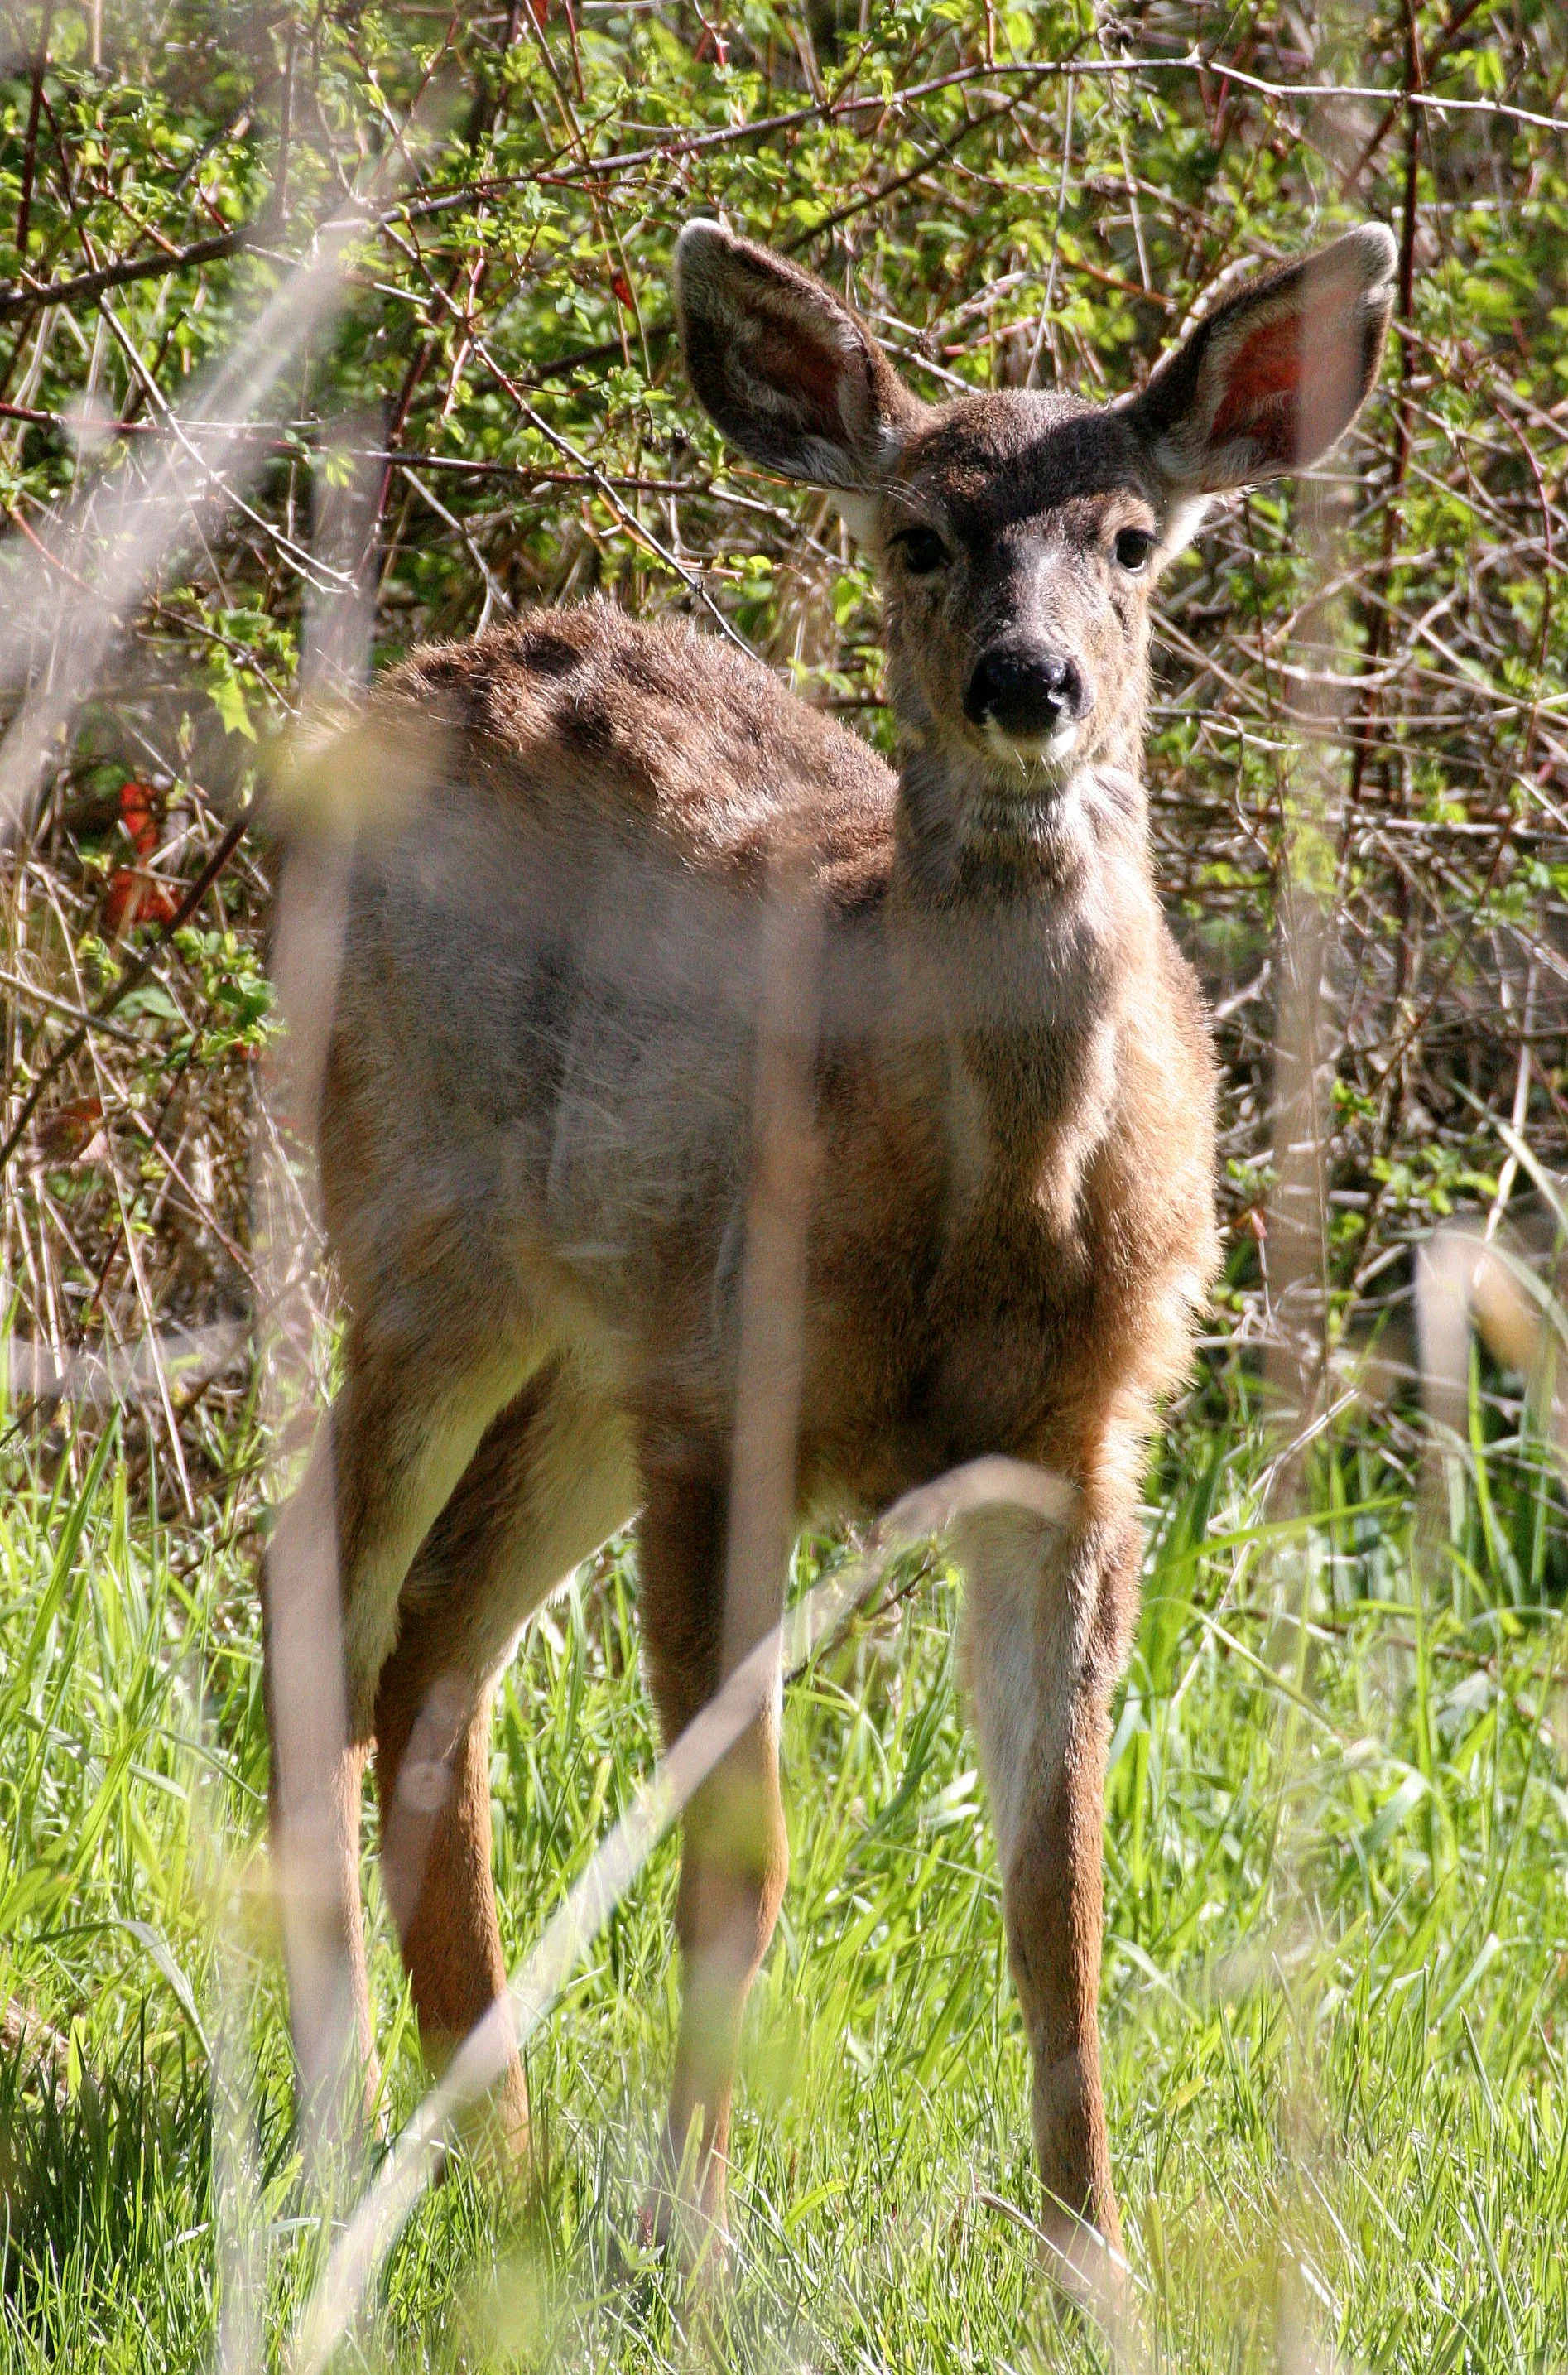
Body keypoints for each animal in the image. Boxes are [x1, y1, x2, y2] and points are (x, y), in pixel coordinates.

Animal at [262, 214, 1396, 2282]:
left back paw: (499, 2155)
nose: (1028, 684)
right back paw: (339, 2134)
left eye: (1132, 538)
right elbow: (740, 1855)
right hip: (421, 1237)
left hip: (599, 1352)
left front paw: (1090, 2259)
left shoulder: (1079, 1456)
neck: (984, 1214)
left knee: (439, 1652)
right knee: (325, 1589)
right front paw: (692, 2243)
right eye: (918, 534)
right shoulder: (742, 1415)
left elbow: (1058, 1884)